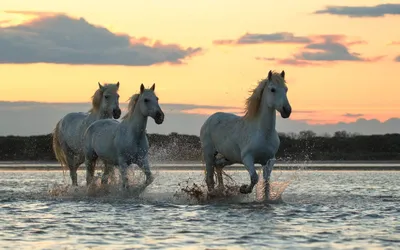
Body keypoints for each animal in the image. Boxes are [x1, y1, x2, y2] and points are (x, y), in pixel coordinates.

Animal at [200, 70, 290, 199]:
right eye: (273, 89)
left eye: (286, 89)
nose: (287, 111)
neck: (263, 133)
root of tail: (210, 119)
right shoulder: (247, 158)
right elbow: (254, 178)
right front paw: (243, 189)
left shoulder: (269, 161)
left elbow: (266, 183)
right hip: (209, 154)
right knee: (210, 178)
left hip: (229, 157)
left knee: (218, 166)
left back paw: (221, 190)